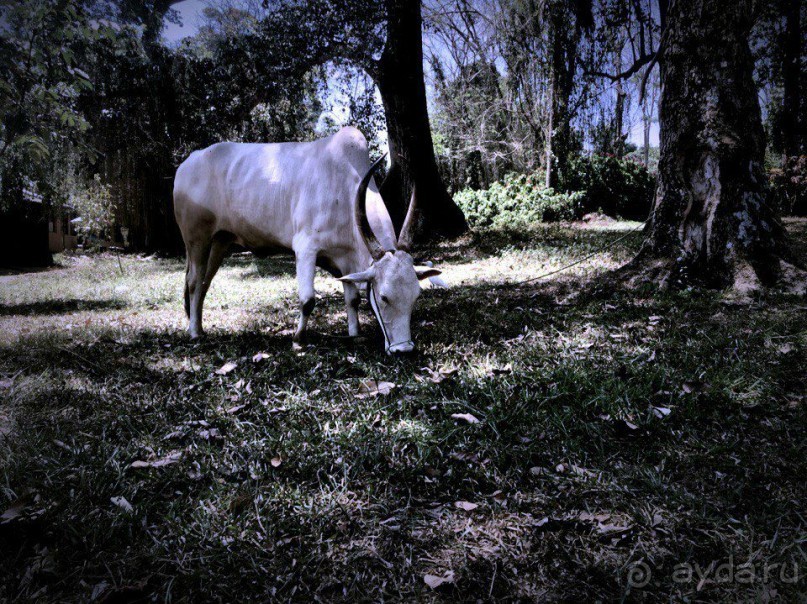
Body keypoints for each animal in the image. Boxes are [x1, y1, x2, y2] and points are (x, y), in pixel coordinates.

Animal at [174, 126, 442, 354]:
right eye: (384, 297)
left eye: (416, 296)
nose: (404, 349)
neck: (345, 185)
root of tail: (188, 162)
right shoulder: (306, 249)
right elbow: (308, 300)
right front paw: (298, 338)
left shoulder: (346, 259)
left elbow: (352, 298)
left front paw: (354, 332)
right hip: (197, 239)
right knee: (194, 281)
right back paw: (194, 333)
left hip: (220, 242)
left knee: (204, 283)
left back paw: (199, 326)